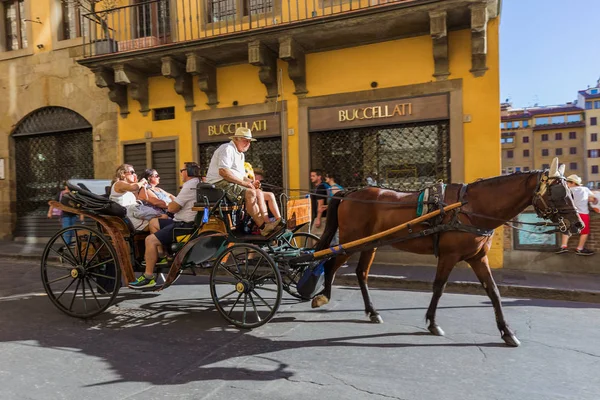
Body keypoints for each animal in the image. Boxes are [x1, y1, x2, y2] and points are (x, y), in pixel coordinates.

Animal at [312, 159, 584, 346]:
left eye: (571, 192)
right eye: (558, 193)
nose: (578, 224)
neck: (471, 207)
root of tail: (349, 192)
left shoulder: (477, 257)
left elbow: (494, 292)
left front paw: (507, 332)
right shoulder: (449, 256)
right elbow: (439, 287)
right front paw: (433, 323)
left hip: (370, 243)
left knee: (360, 273)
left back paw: (372, 311)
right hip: (351, 240)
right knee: (331, 263)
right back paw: (322, 296)